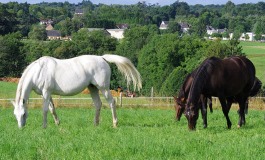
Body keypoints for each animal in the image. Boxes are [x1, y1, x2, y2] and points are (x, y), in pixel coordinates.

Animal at [11, 54, 142, 128]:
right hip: (92, 87)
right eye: (15, 114)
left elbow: (44, 110)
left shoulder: (46, 92)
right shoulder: (47, 94)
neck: (39, 71)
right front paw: (57, 123)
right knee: (98, 104)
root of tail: (102, 58)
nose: (20, 128)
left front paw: (44, 126)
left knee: (111, 102)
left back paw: (115, 124)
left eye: (23, 114)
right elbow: (52, 109)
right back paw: (95, 124)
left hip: (103, 88)